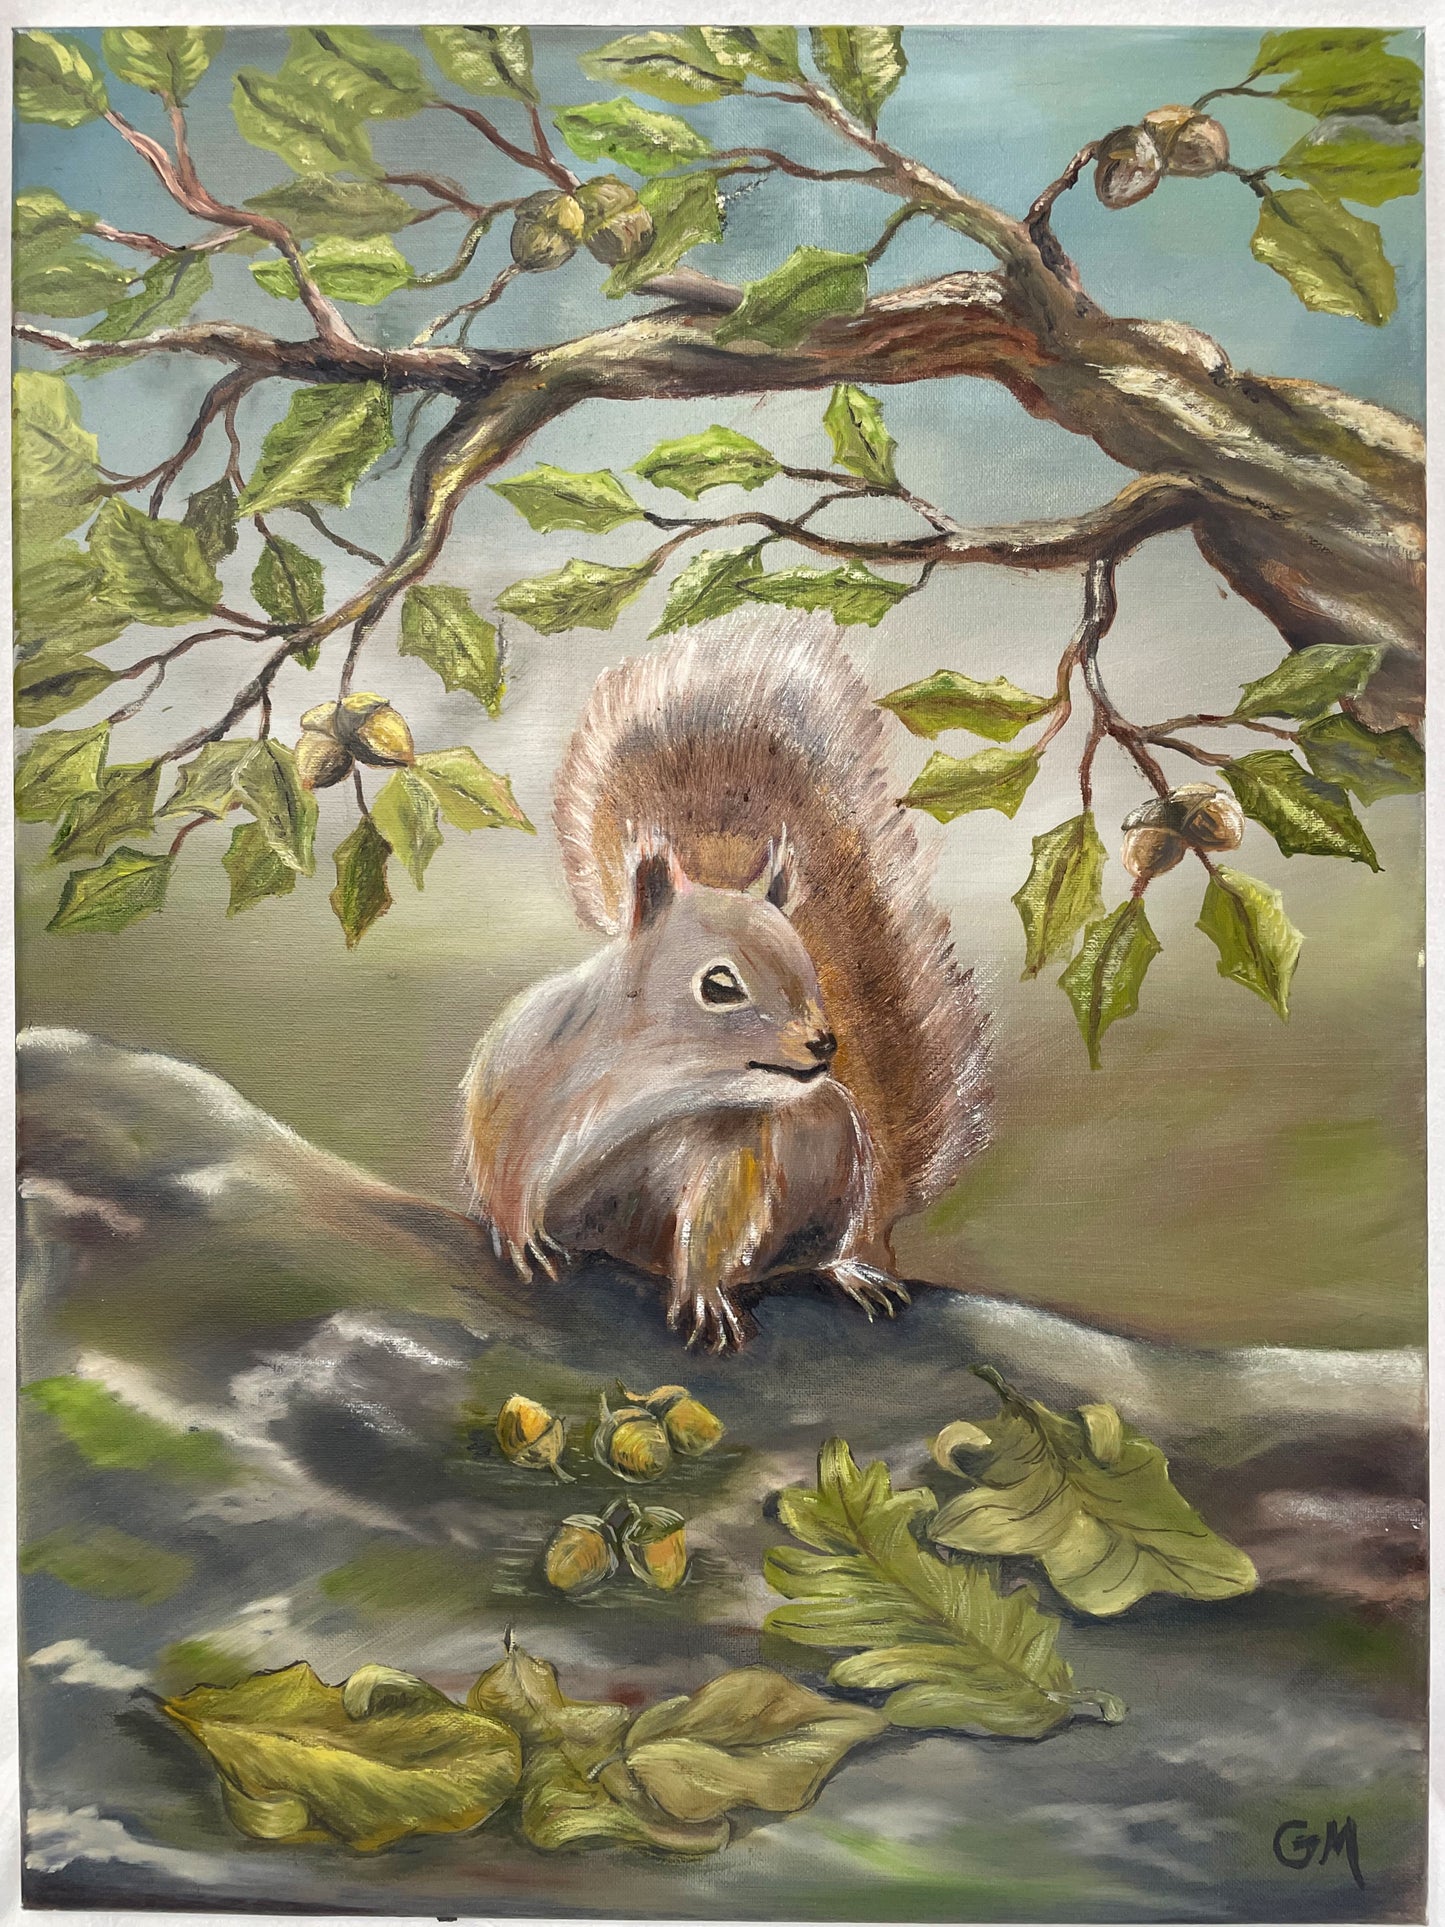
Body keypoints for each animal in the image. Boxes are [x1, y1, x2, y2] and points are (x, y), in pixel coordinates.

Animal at [461, 610, 991, 1352]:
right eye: (719, 985)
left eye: (809, 966)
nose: (825, 1044)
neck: (656, 1075)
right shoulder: (524, 1068)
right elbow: (498, 1149)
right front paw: (515, 1232)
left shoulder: (731, 1141)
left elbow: (715, 1215)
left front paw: (703, 1291)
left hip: (847, 1172)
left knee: (833, 1240)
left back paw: (850, 1268)